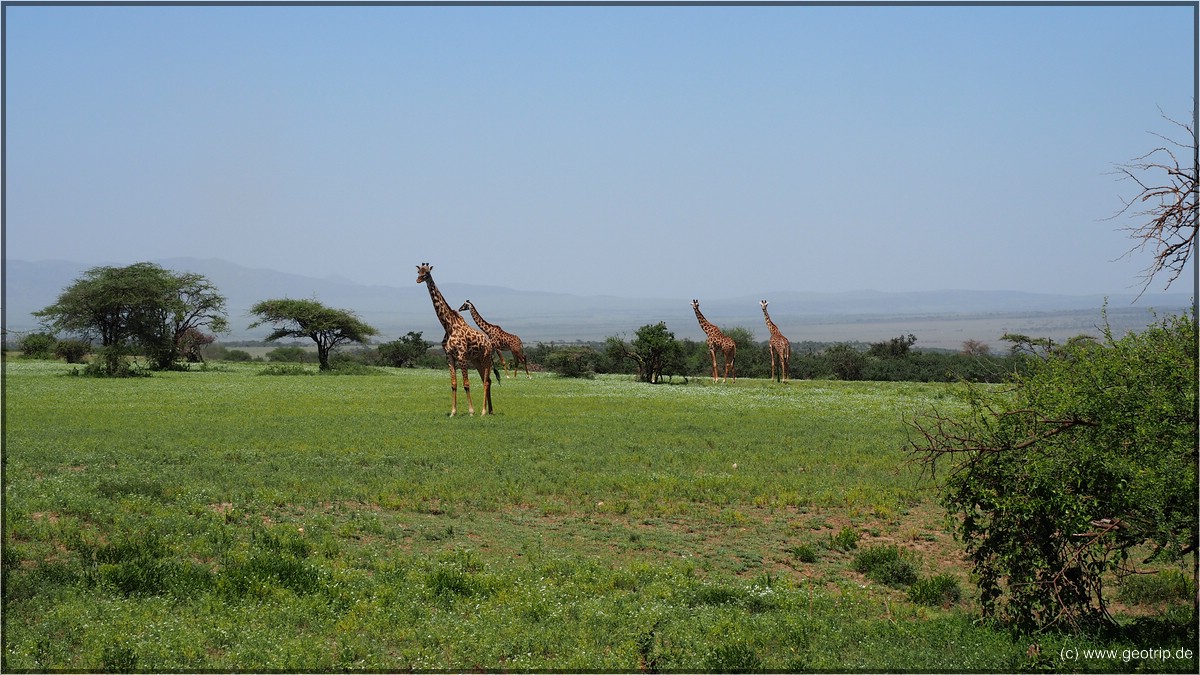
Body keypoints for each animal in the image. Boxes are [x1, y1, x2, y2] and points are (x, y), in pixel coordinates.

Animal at [417, 263, 496, 415]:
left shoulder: (461, 355)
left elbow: (466, 384)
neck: (448, 325)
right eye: (418, 271)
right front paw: (453, 411)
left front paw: (471, 411)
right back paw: (489, 410)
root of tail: (489, 343)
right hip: (476, 360)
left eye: (427, 272)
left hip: (486, 358)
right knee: (487, 379)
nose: (418, 279)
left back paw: (483, 411)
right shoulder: (449, 356)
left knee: (486, 381)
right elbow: (453, 384)